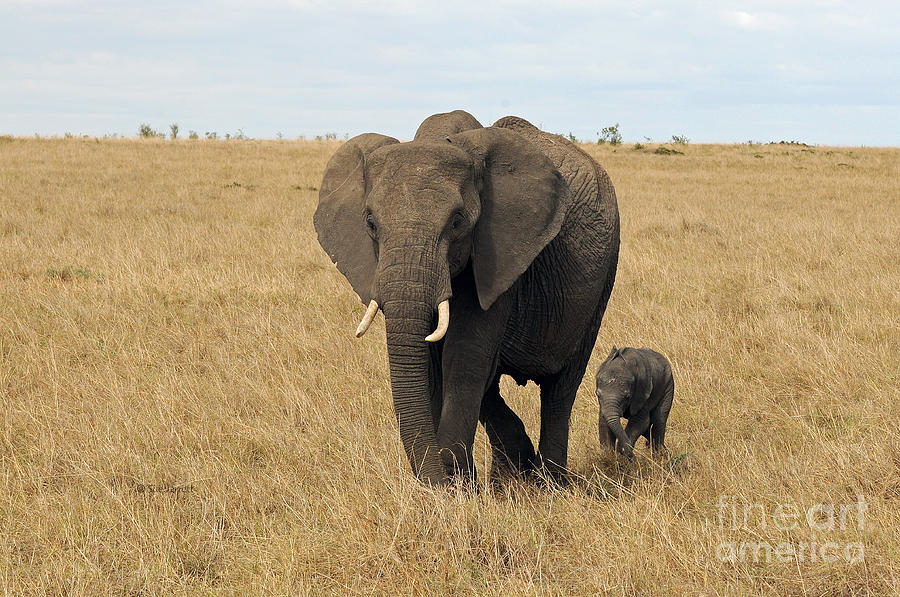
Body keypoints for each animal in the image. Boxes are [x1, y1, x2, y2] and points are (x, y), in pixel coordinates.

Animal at [314, 110, 620, 484]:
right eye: (371, 223)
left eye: (458, 222)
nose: (435, 481)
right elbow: (432, 364)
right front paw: (459, 482)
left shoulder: (499, 250)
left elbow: (464, 356)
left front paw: (455, 484)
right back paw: (513, 472)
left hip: (601, 282)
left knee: (561, 388)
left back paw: (549, 482)